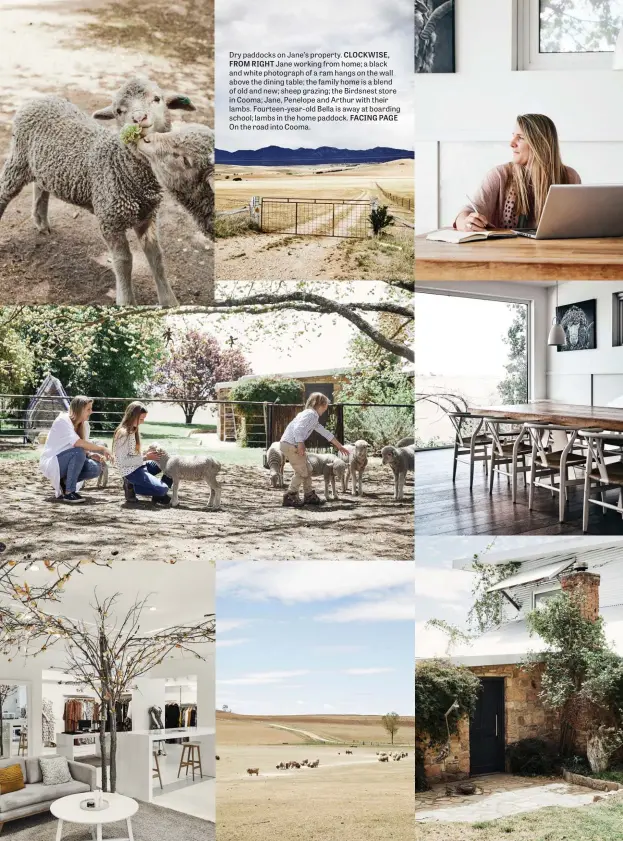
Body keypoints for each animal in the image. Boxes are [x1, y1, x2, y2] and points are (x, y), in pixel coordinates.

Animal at [0, 77, 196, 306]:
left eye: (157, 99)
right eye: (119, 110)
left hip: (42, 166)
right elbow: (124, 261)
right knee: (4, 192)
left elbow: (156, 257)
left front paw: (169, 302)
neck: (122, 165)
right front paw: (126, 302)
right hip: (18, 159)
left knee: (41, 186)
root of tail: (39, 98)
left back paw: (41, 222)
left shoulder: (147, 216)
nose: (139, 118)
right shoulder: (110, 220)